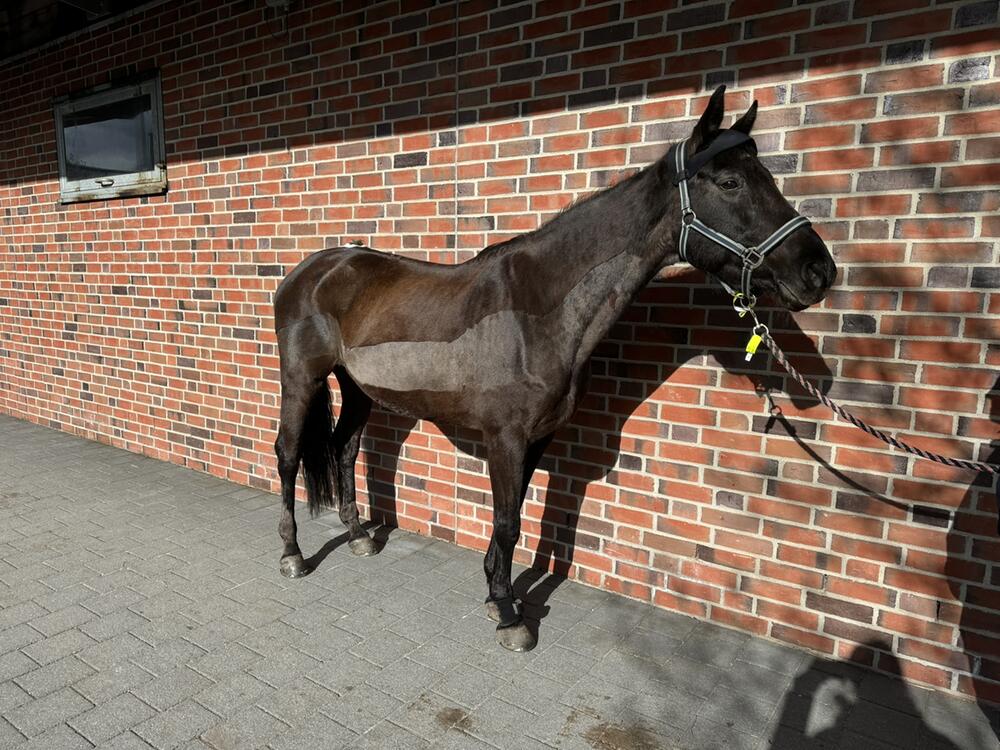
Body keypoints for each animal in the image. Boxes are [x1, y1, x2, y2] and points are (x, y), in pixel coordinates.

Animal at [272, 86, 836, 652]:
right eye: (730, 182)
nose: (818, 271)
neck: (539, 312)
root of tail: (314, 269)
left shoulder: (538, 437)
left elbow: (517, 516)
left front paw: (498, 593)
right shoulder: (505, 439)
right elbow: (506, 522)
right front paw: (509, 614)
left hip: (357, 388)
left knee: (345, 449)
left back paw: (359, 537)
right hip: (301, 380)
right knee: (289, 455)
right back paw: (293, 554)